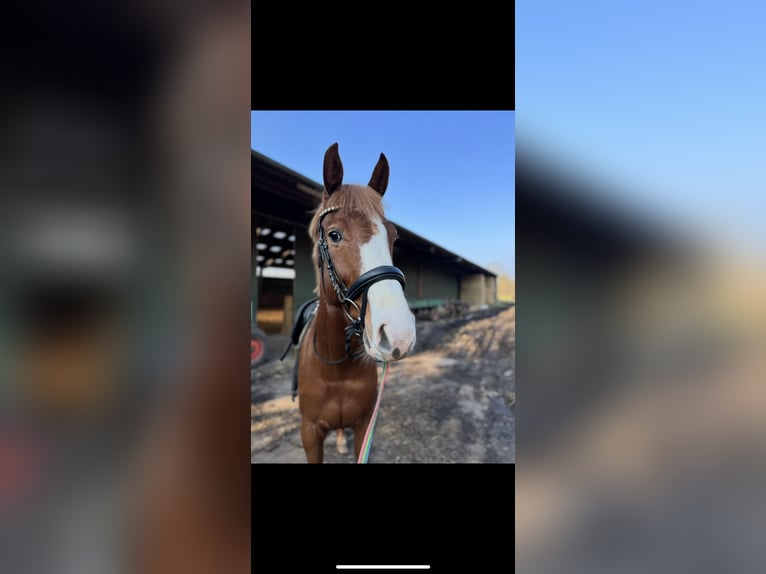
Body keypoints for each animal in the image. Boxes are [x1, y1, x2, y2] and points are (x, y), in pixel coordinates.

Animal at [295, 142, 416, 463]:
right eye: (334, 235)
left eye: (393, 237)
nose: (399, 334)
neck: (336, 368)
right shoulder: (310, 434)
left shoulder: (364, 428)